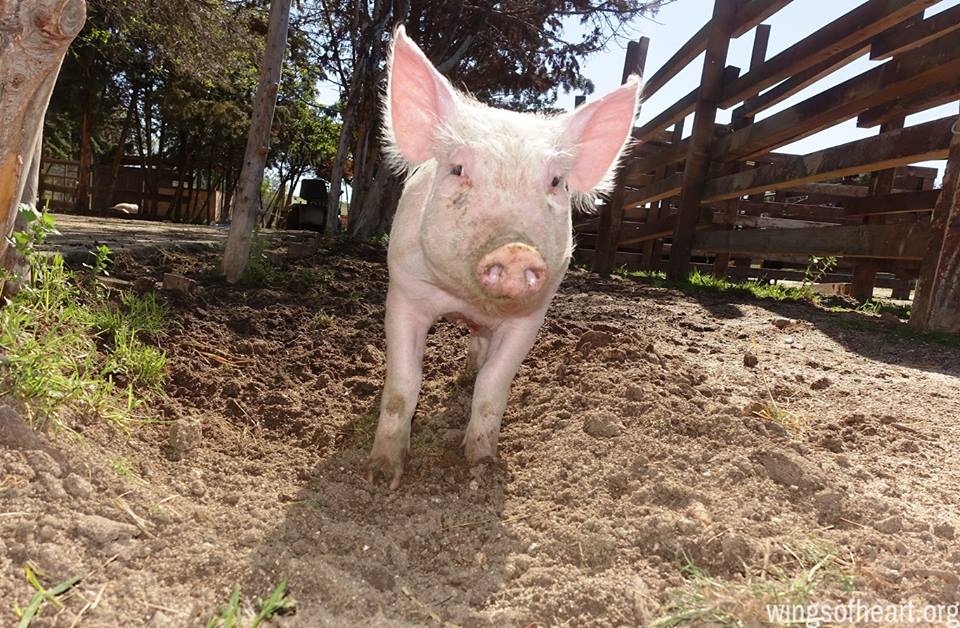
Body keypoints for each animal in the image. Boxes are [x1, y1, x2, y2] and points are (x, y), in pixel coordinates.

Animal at [366, 25, 636, 490]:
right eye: (458, 169)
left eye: (556, 181)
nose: (516, 249)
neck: (469, 301)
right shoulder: (404, 289)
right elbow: (404, 383)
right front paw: (383, 475)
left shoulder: (532, 315)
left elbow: (494, 386)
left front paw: (482, 464)